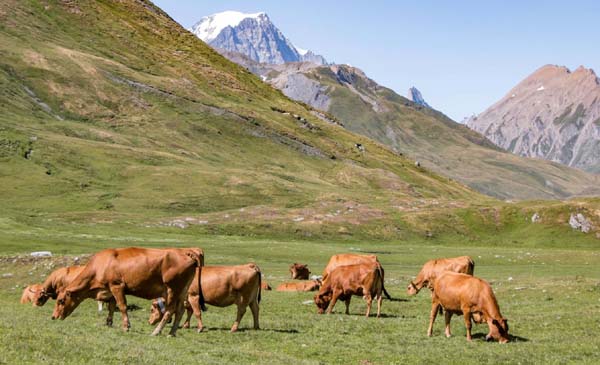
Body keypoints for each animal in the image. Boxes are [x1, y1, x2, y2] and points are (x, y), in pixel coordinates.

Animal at [52, 245, 202, 336]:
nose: (53, 316)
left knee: (170, 310)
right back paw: (171, 333)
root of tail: (186, 252)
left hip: (172, 289)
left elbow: (122, 306)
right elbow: (112, 307)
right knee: (180, 311)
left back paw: (156, 331)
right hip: (183, 291)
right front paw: (109, 323)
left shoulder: (117, 286)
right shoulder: (110, 290)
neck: (101, 265)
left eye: (61, 301)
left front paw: (126, 326)